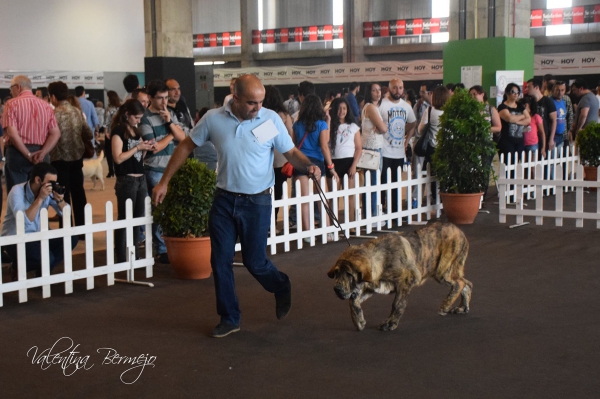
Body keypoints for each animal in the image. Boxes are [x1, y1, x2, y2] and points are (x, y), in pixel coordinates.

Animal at [328, 222, 474, 332]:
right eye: (336, 273)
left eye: (349, 274)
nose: (337, 289)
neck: (381, 260)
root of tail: (458, 230)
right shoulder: (371, 287)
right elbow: (353, 301)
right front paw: (359, 321)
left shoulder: (405, 282)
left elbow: (397, 304)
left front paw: (390, 323)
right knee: (467, 283)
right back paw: (463, 307)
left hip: (442, 271)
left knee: (460, 283)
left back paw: (445, 305)